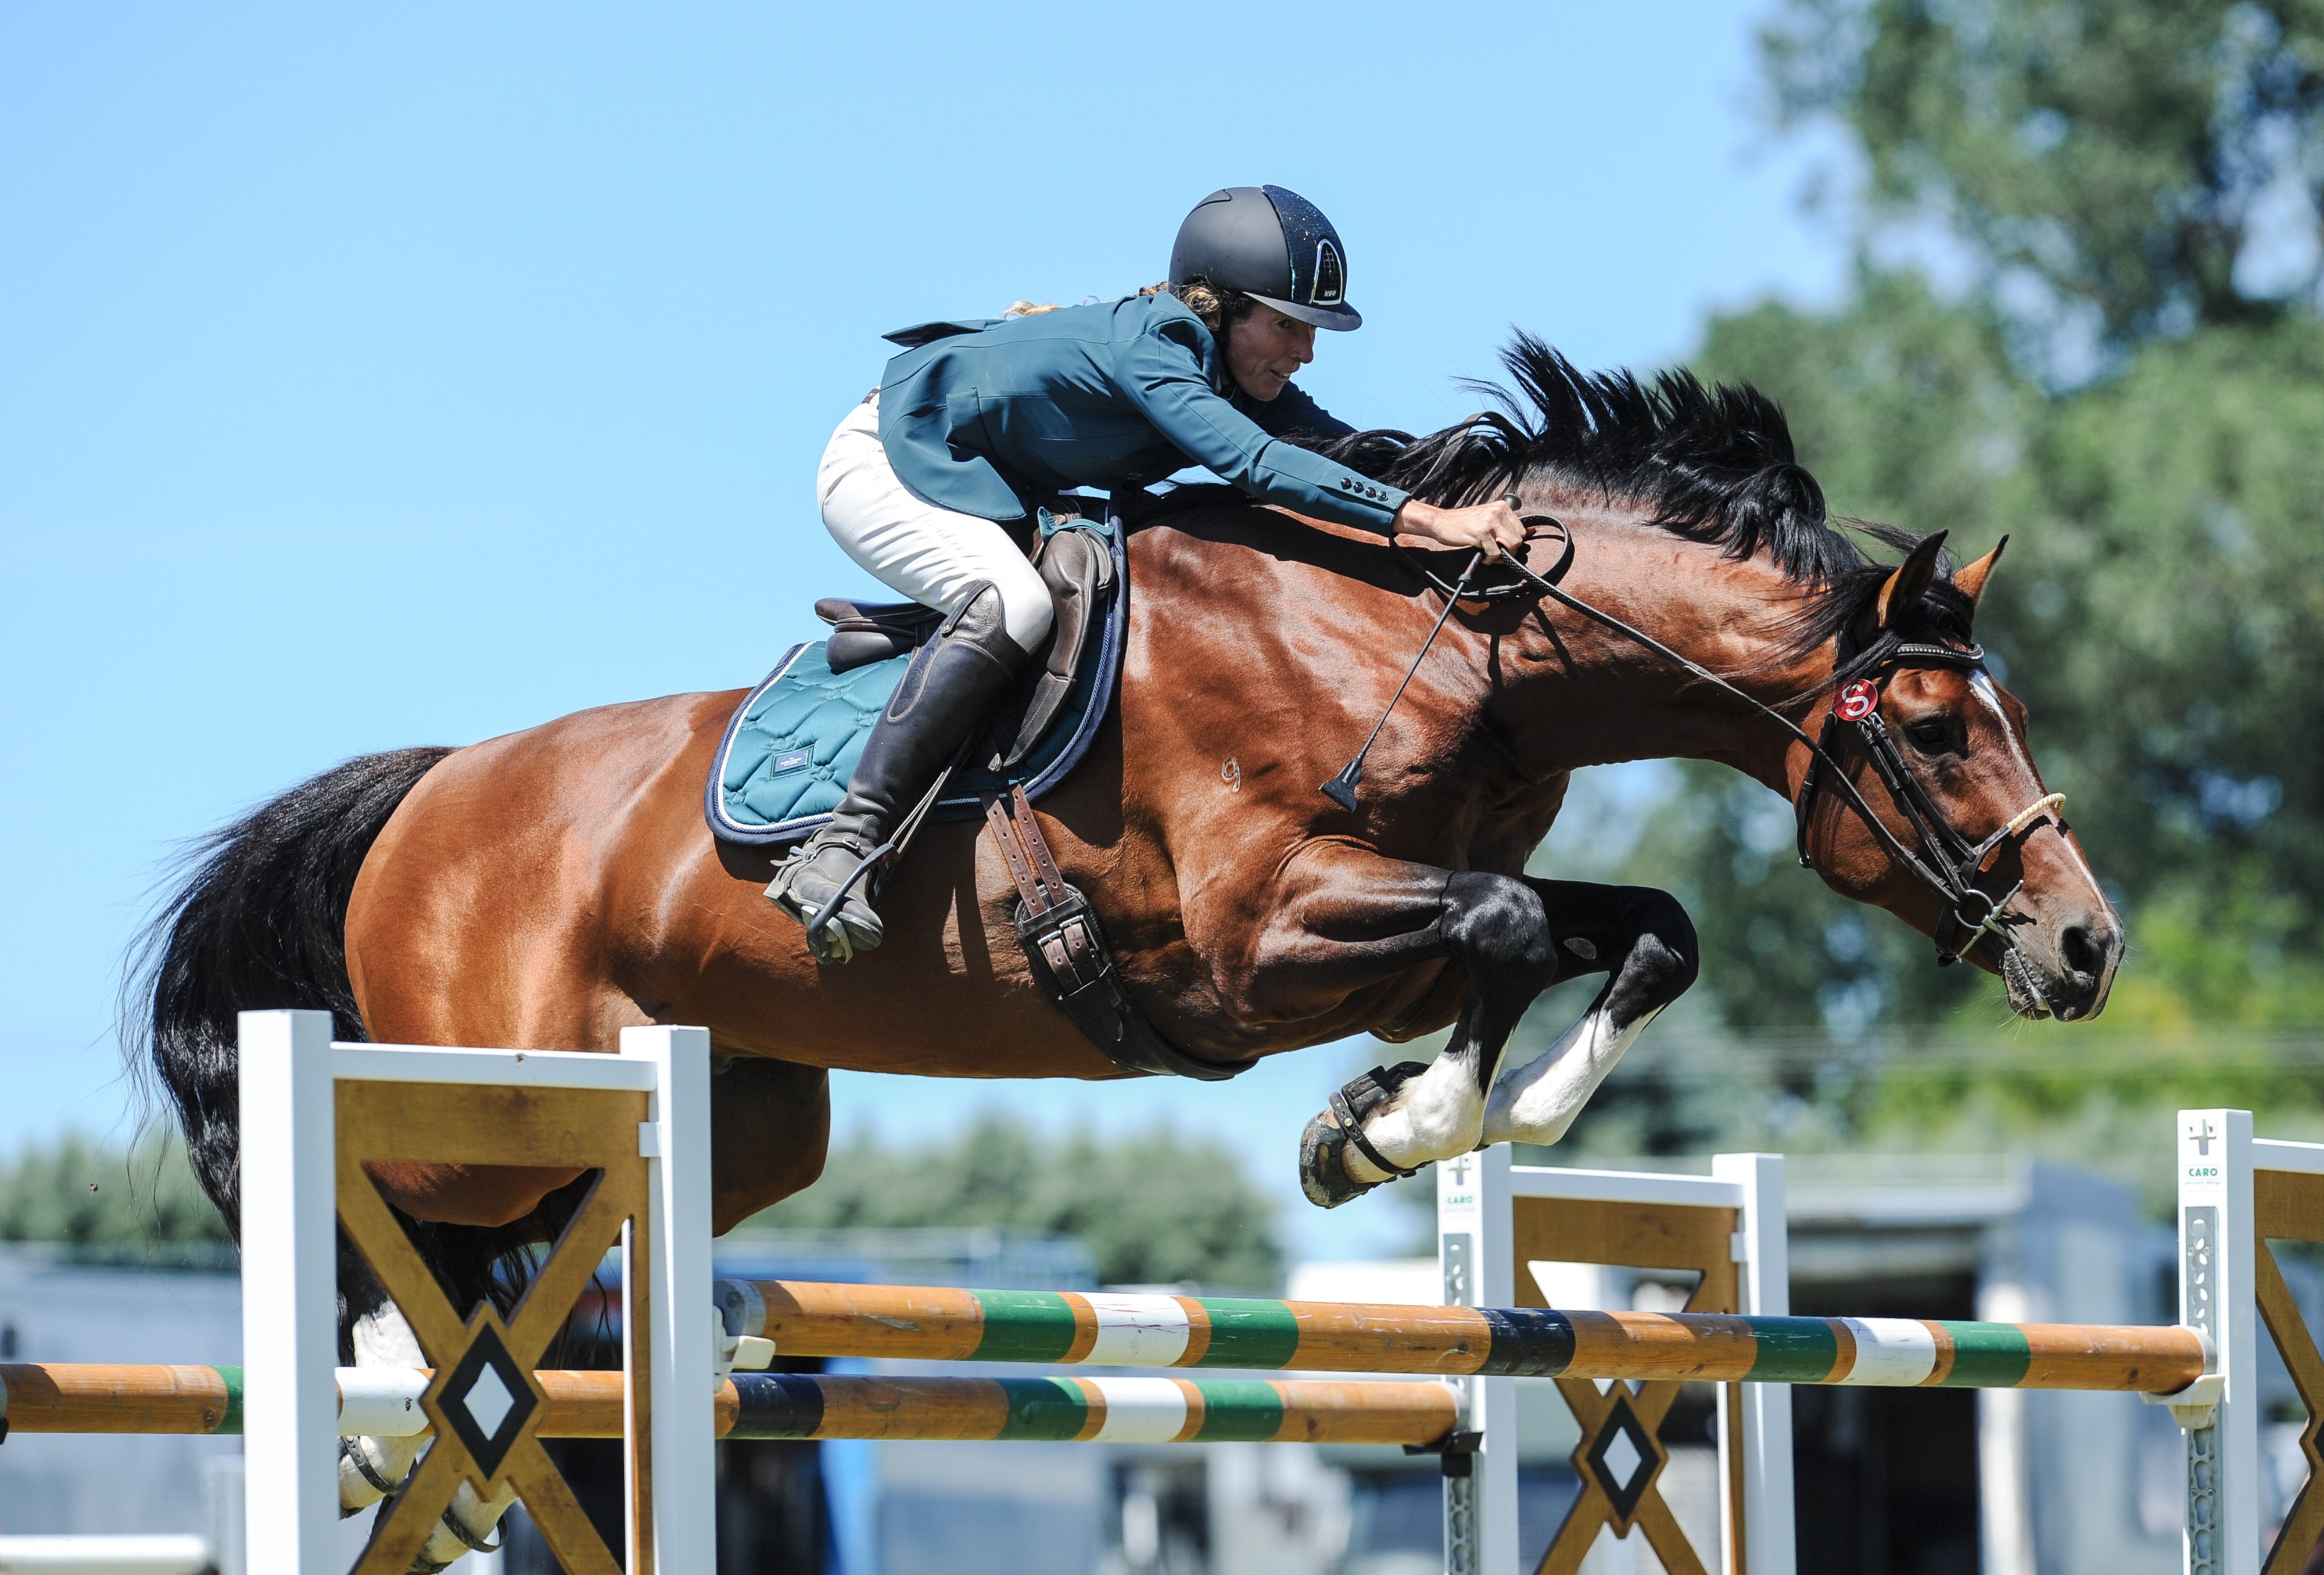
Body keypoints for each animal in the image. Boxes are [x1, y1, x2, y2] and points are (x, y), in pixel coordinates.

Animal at [135, 336, 2119, 1316]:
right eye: (1935, 725)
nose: (2086, 940)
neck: (1448, 631)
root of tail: (432, 786)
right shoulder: (1261, 938)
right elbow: (1498, 929)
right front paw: (1390, 1129)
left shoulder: (1391, 917)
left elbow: (1636, 929)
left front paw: (1416, 1121)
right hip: (483, 1094)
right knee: (384, 1212)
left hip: (734, 1113)